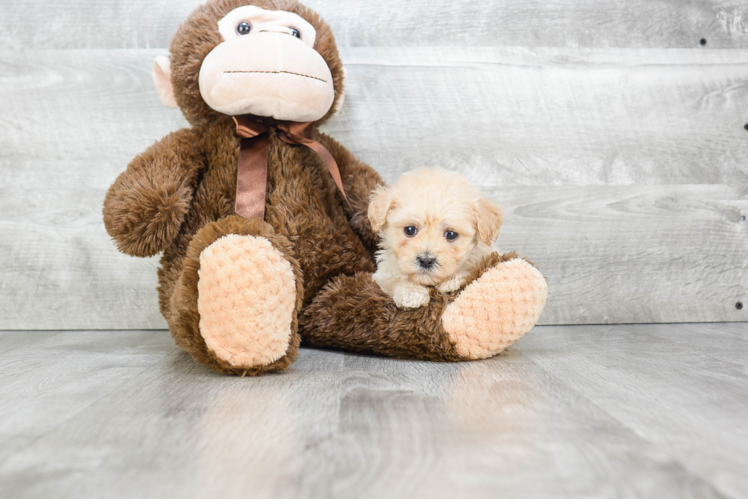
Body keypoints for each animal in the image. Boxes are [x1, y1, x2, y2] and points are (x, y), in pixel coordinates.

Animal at [368, 168, 502, 308]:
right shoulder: (383, 273)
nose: (426, 260)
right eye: (410, 230)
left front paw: (453, 280)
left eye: (451, 234)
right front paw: (411, 293)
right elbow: (393, 278)